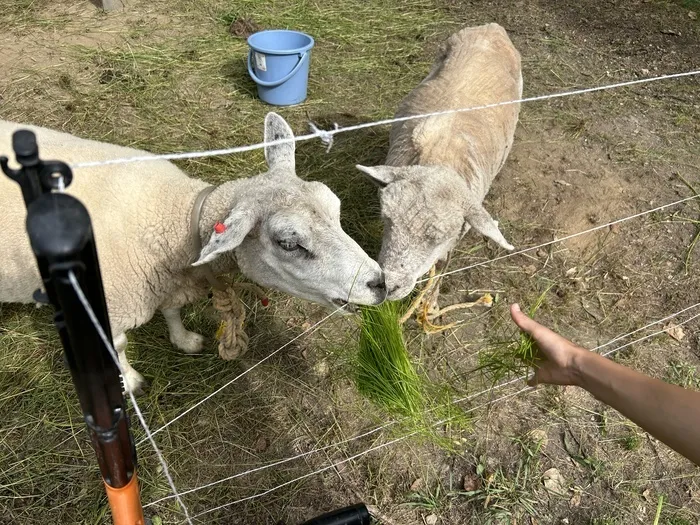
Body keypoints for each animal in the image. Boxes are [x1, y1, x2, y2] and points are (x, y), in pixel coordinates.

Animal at [0, 114, 386, 392]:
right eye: (288, 243)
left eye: (336, 209)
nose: (380, 284)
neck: (178, 215)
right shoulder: (107, 307)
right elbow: (119, 347)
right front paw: (130, 381)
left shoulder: (169, 280)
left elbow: (172, 310)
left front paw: (184, 339)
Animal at [358, 23, 524, 328]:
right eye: (387, 220)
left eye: (437, 238)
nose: (389, 286)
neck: (441, 155)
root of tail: (491, 28)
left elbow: (444, 265)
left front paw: (431, 302)